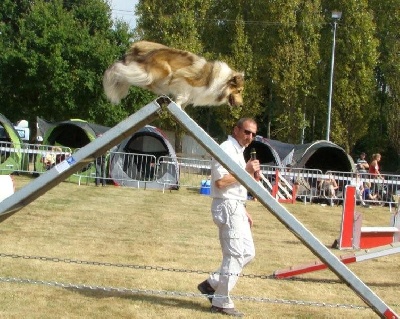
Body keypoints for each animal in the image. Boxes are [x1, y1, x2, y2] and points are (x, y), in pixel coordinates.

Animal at [102, 41, 244, 109]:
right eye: (239, 91)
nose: (241, 105)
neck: (221, 83)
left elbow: (186, 101)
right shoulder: (184, 80)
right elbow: (183, 96)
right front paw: (178, 104)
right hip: (161, 72)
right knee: (121, 69)